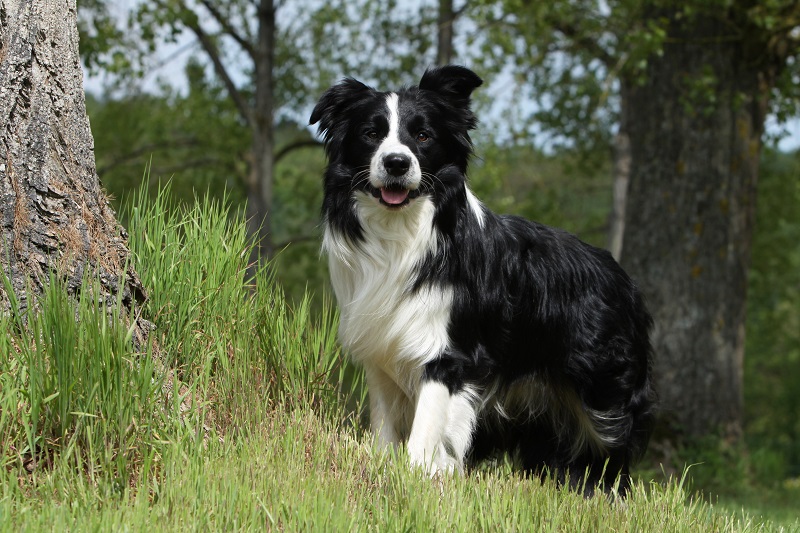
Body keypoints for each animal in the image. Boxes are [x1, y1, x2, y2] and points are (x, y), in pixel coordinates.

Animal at [310, 65, 652, 494]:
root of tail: (624, 279)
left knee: (611, 448)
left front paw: (418, 477)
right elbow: (385, 427)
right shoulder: (381, 348)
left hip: (604, 392)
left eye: (423, 136)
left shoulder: (450, 352)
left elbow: (426, 427)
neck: (402, 233)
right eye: (371, 133)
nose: (396, 163)